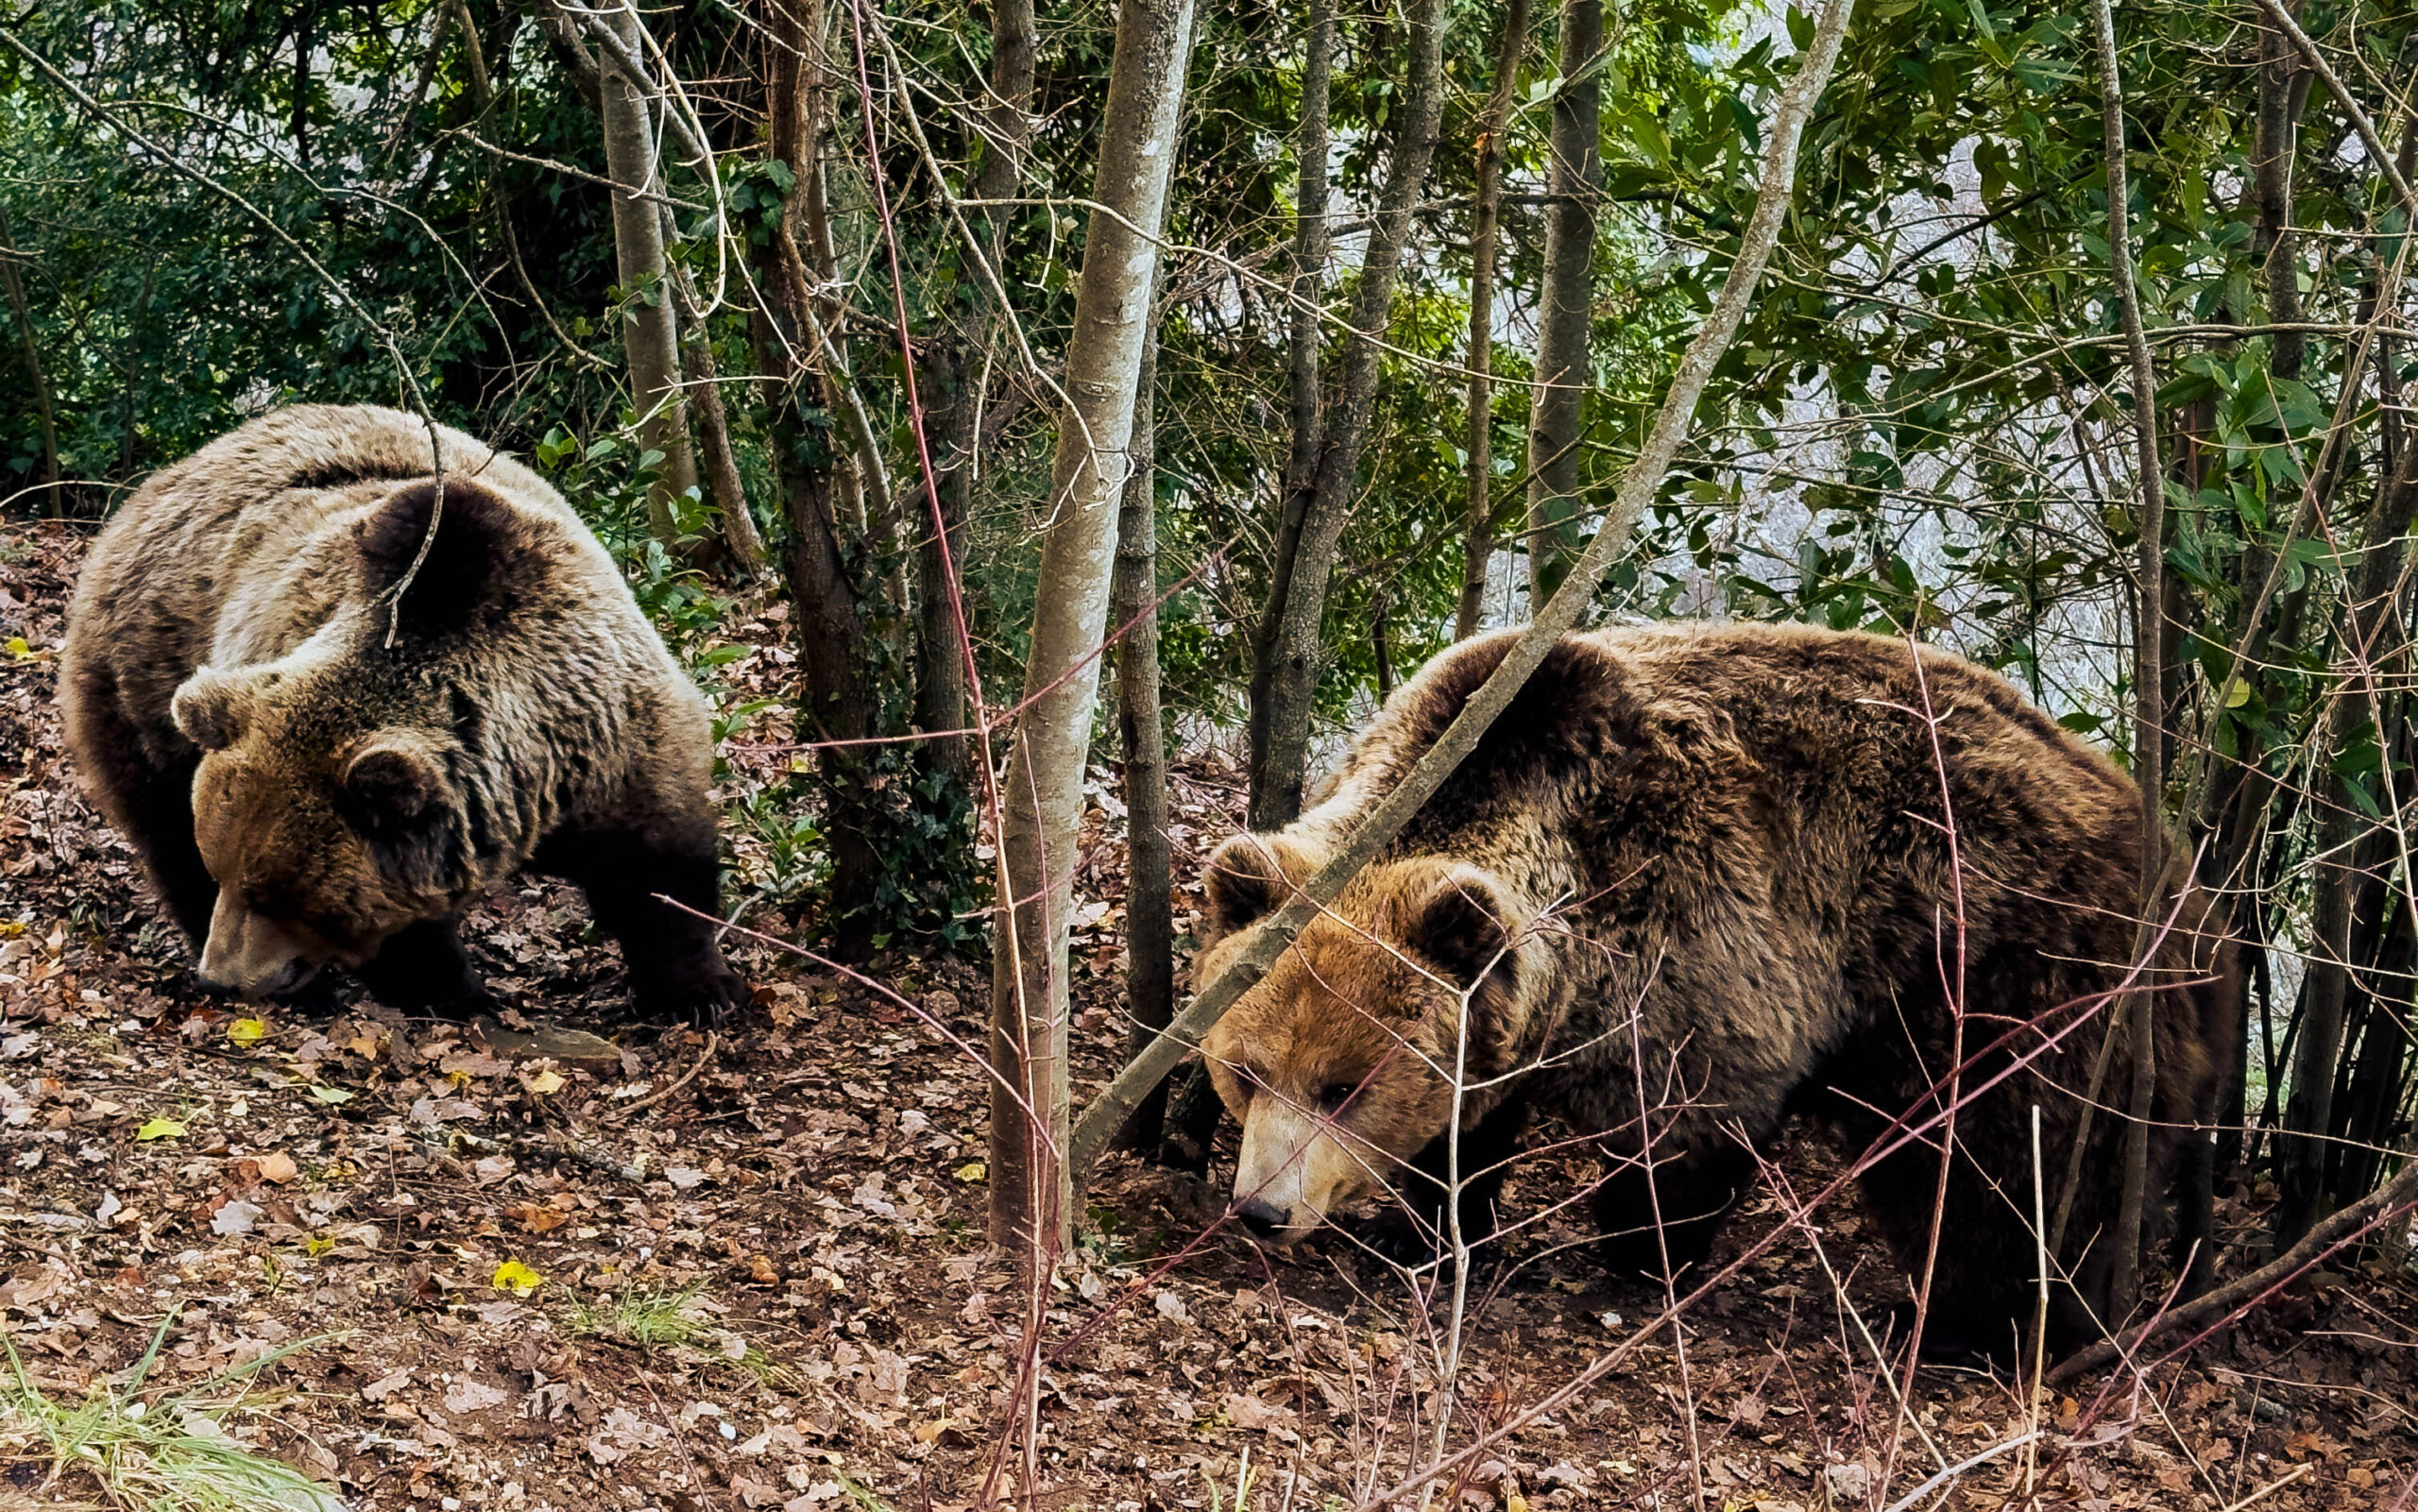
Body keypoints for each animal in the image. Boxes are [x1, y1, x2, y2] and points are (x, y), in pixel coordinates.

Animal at [63, 401, 744, 1026]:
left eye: (272, 890)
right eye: (228, 866)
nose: (221, 979)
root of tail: (159, 484)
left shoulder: (611, 735)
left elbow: (659, 866)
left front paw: (702, 991)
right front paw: (456, 992)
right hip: (142, 680)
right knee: (162, 820)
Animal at [1199, 619, 2234, 1354]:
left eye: (1343, 1086)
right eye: (1245, 1072)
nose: (1262, 1208)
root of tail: (2189, 883)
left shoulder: (1694, 928)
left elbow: (1691, 1116)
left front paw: (1639, 1247)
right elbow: (1470, 1125)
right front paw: (1430, 1226)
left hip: (2014, 971)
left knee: (2008, 1161)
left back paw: (1974, 1325)